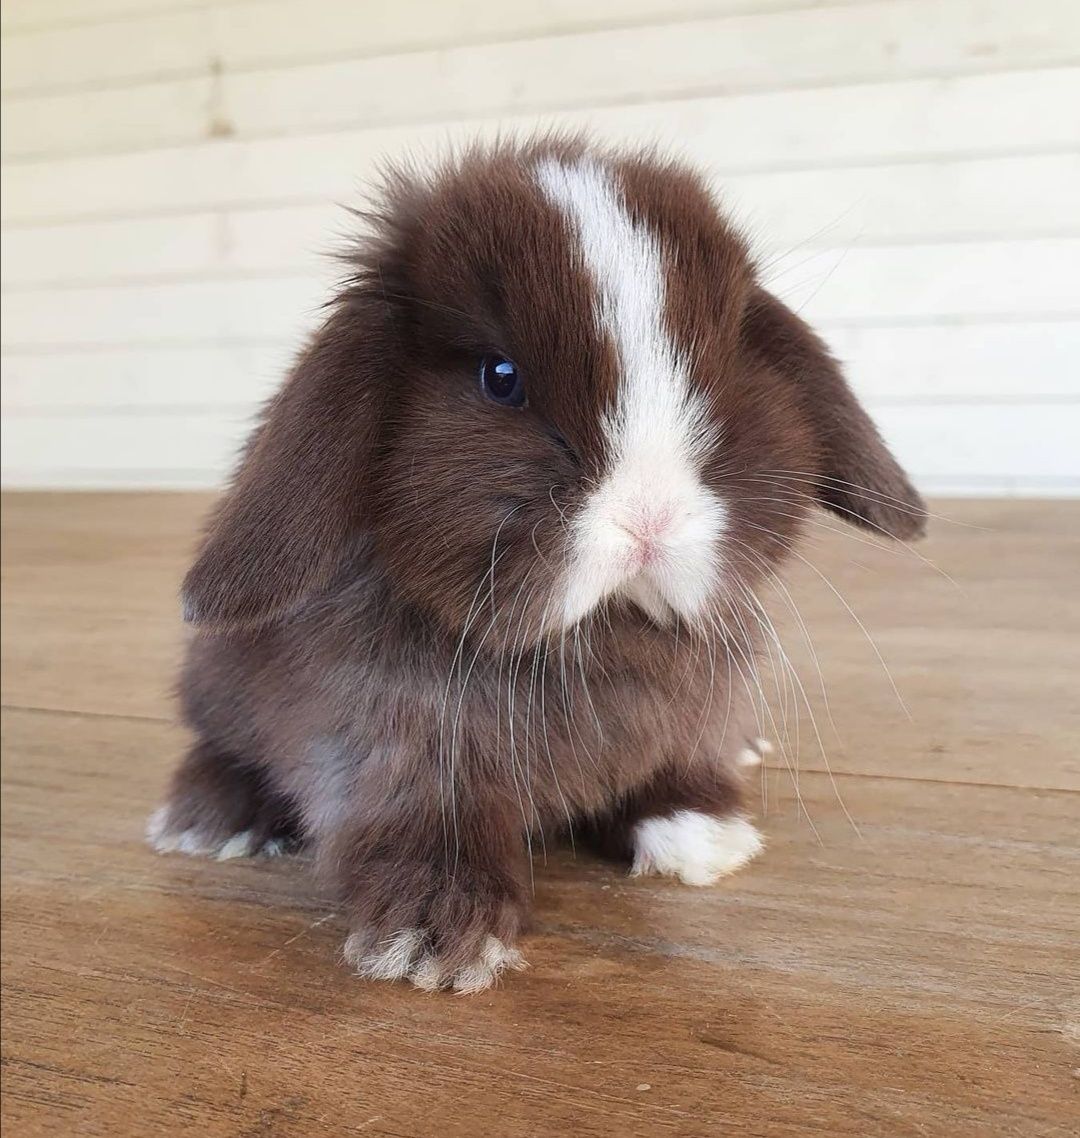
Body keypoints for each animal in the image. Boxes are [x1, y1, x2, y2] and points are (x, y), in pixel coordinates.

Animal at [149, 133, 928, 992]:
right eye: (501, 378)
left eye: (720, 367)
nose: (650, 517)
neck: (593, 636)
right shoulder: (394, 755)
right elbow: (419, 826)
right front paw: (433, 942)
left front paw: (702, 834)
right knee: (220, 748)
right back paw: (209, 822)